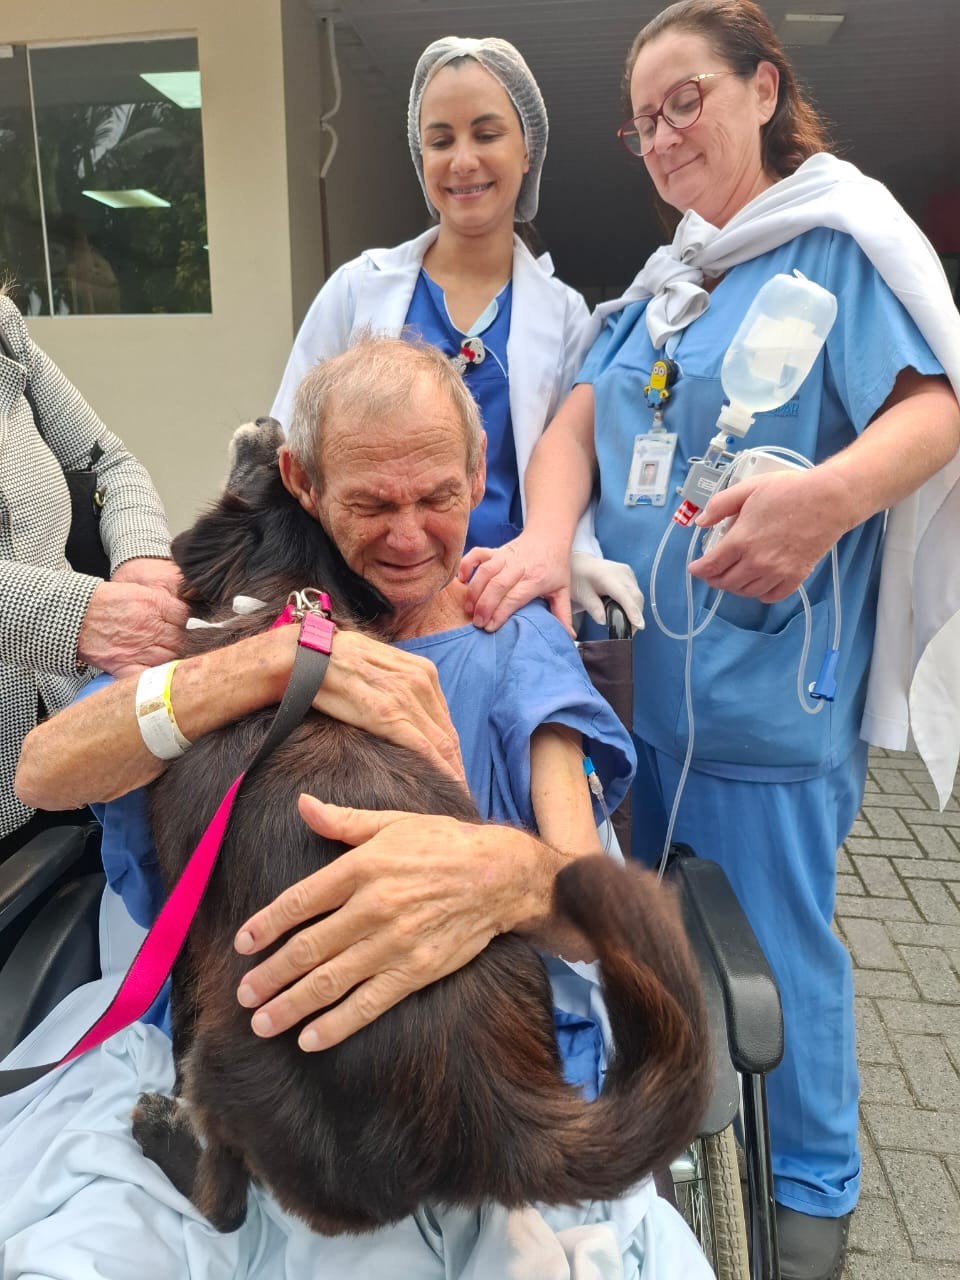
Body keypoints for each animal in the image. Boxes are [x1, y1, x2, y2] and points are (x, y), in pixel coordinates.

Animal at [131, 424, 711, 1233]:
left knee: (226, 1203)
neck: (289, 604)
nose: (269, 426)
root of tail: (500, 1107)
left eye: (262, 471)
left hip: (233, 1052)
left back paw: (168, 1137)